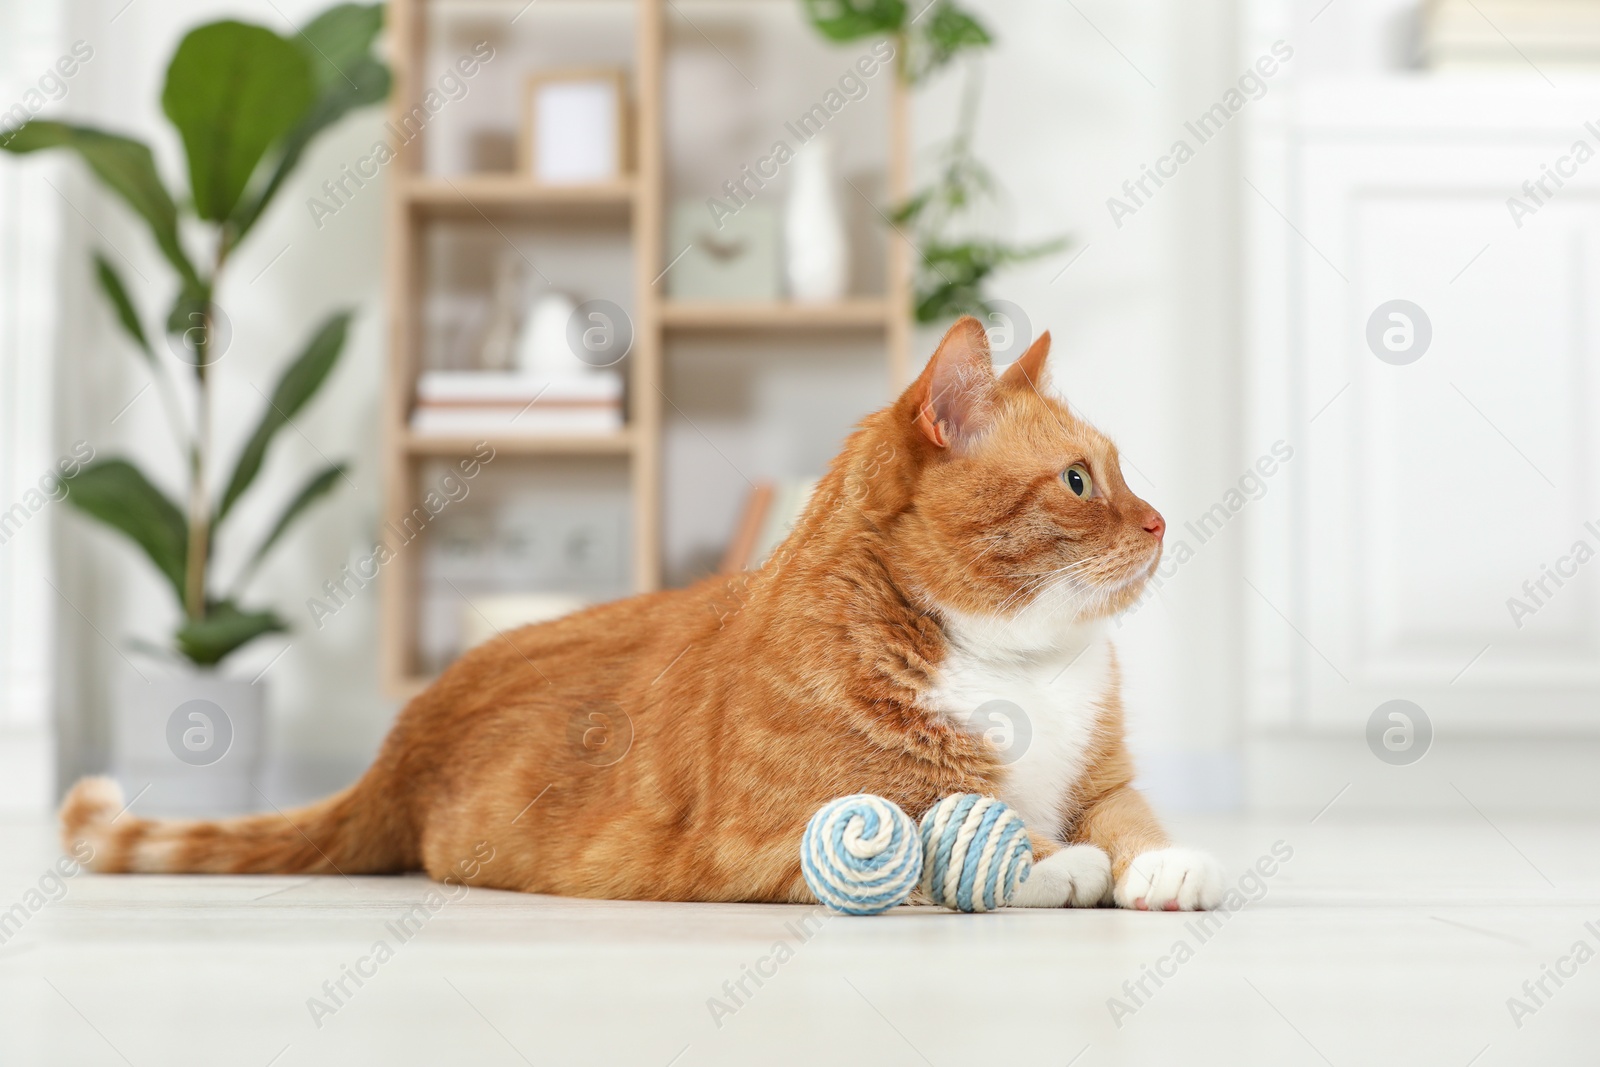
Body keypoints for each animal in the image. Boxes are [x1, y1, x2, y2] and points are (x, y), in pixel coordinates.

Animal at [56, 315, 1216, 908]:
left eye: (1118, 472)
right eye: (1079, 482)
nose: (1162, 519)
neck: (1017, 664)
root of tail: (406, 733)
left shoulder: (1104, 777)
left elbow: (1127, 814)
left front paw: (1157, 862)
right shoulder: (765, 841)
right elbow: (946, 827)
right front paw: (1052, 860)